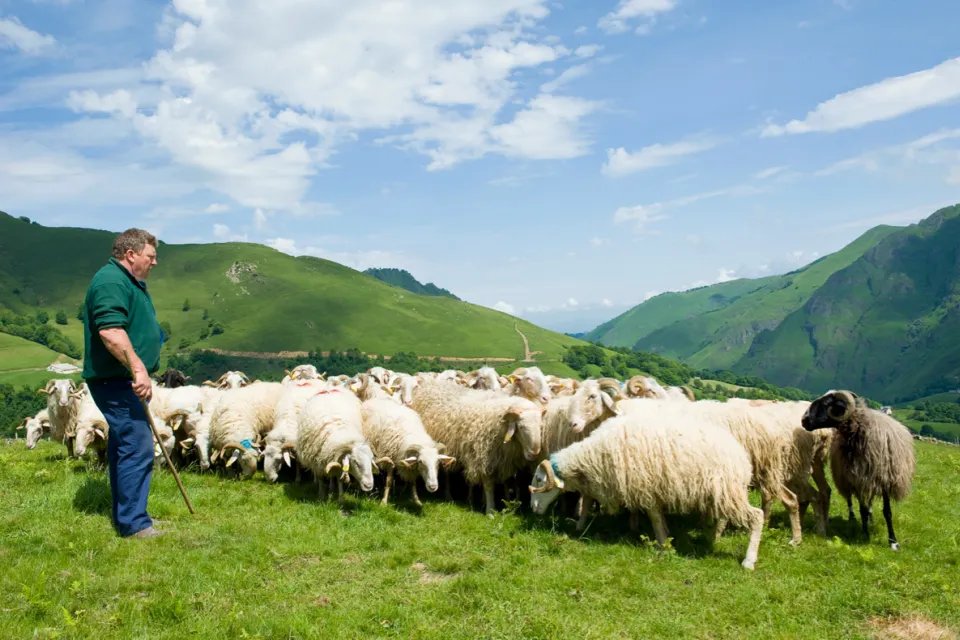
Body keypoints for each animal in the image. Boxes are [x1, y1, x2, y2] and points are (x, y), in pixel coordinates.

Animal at [411, 380, 544, 515]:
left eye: (540, 426)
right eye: (521, 427)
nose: (534, 453)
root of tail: (430, 383)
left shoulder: (504, 459)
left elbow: (506, 480)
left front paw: (506, 503)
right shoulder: (483, 457)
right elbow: (489, 485)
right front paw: (490, 510)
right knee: (447, 472)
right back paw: (449, 495)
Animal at [529, 413, 764, 570]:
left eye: (539, 479)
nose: (533, 508)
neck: (591, 454)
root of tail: (741, 455)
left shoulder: (646, 488)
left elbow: (655, 518)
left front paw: (662, 543)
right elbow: (587, 499)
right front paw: (580, 524)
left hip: (728, 489)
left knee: (757, 516)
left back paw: (748, 560)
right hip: (722, 492)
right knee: (724, 516)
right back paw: (715, 536)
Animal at [802, 390, 916, 550]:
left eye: (825, 404)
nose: (804, 420)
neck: (858, 428)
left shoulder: (884, 479)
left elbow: (887, 512)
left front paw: (893, 542)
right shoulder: (857, 479)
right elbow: (862, 509)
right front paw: (865, 534)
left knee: (870, 500)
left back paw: (871, 517)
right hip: (844, 477)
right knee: (850, 499)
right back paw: (853, 517)